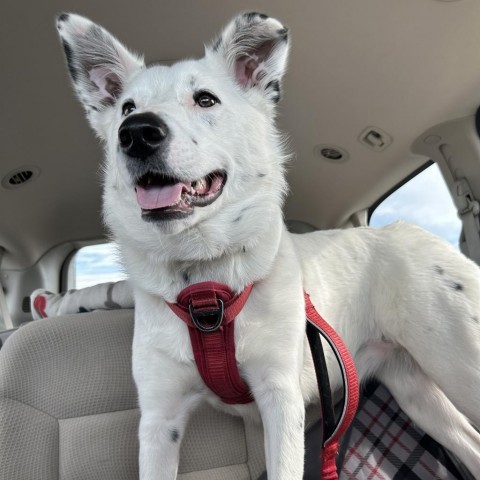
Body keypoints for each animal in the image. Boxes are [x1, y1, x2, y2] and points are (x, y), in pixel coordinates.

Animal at [57, 13, 480, 478]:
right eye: (127, 108)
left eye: (205, 99)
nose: (135, 133)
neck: (205, 284)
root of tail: (410, 232)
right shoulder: (158, 420)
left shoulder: (281, 401)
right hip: (413, 390)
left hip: (460, 364)